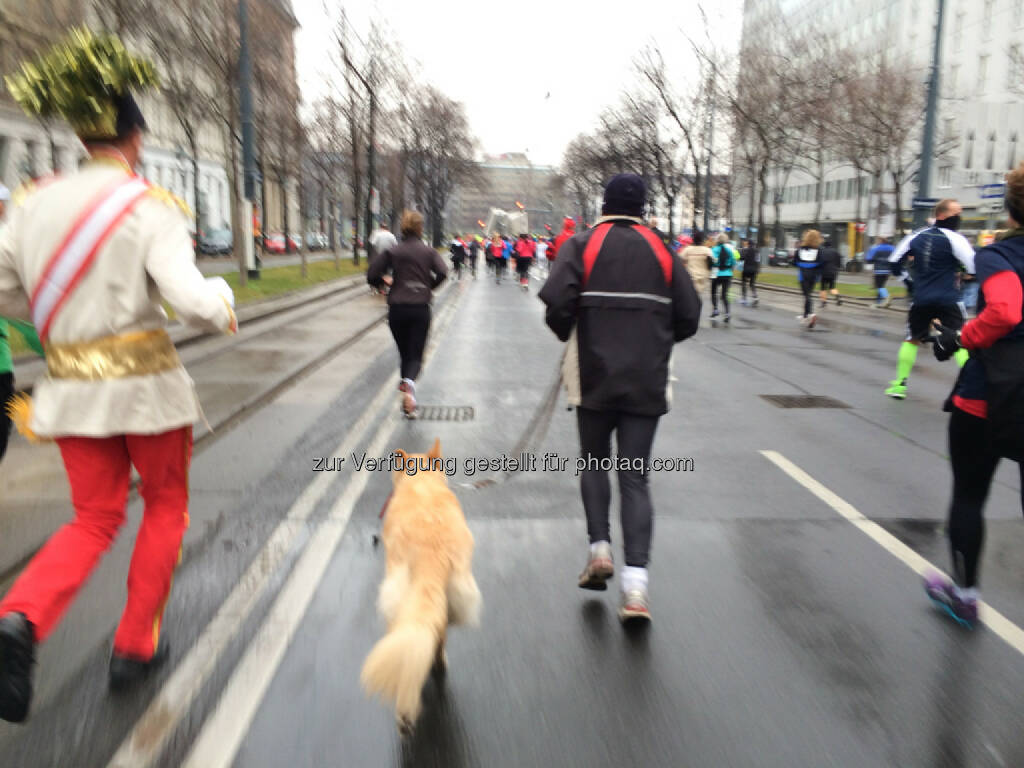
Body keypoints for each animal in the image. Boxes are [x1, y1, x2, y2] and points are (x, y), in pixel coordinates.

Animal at [362, 438, 481, 733]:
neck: (422, 480)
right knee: (437, 635)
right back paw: (438, 664)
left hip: (393, 596)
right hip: (450, 598)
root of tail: (431, 554)